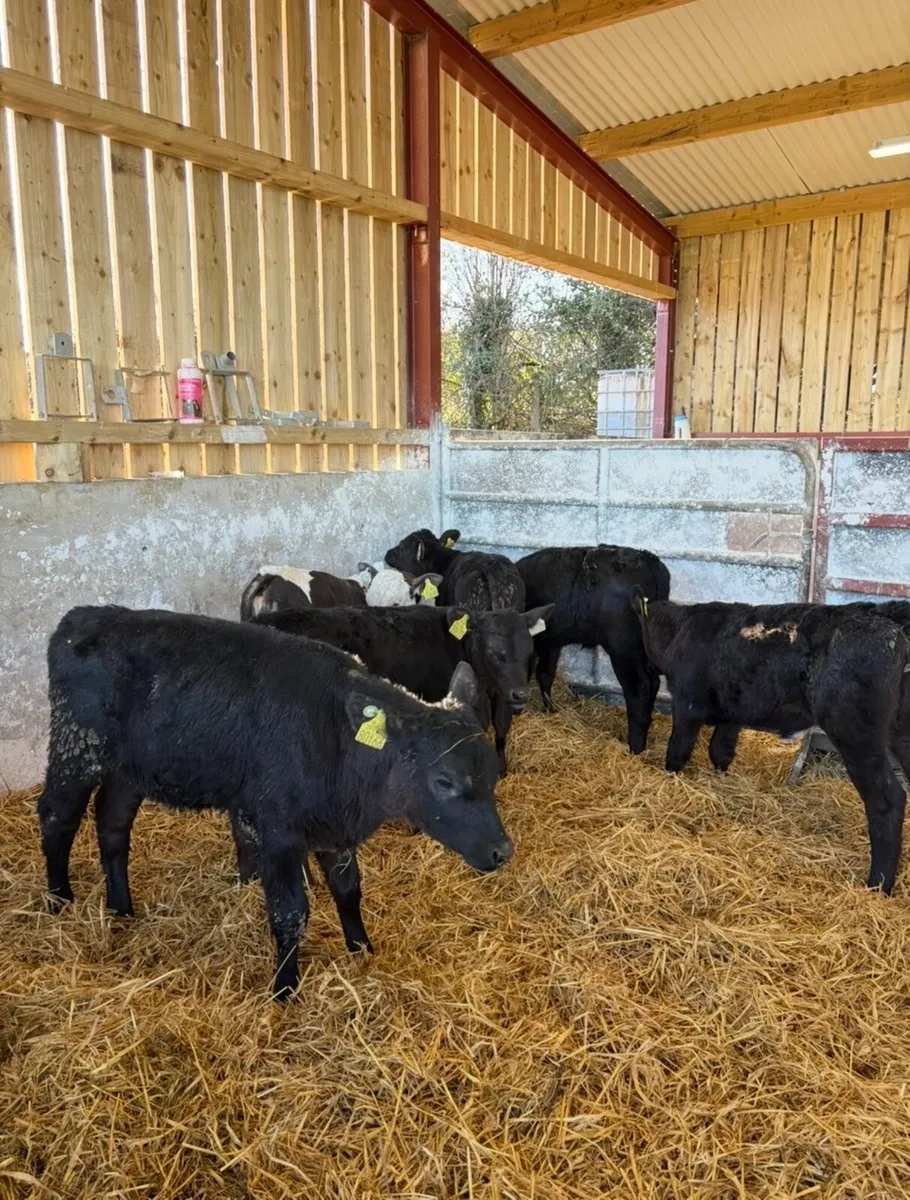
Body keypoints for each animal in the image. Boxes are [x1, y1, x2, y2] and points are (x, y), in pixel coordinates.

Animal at [37, 606, 513, 999]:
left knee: (112, 825)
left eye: (491, 774)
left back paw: (120, 908)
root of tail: (83, 617)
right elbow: (290, 913)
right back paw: (59, 901)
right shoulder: (279, 830)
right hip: (76, 746)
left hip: (128, 770)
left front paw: (361, 948)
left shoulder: (333, 826)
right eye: (444, 781)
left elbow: (349, 889)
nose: (502, 851)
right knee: (57, 816)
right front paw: (285, 989)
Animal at [516, 545, 671, 754]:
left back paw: (635, 747)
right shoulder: (551, 643)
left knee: (639, 689)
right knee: (653, 683)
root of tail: (646, 559)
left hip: (623, 650)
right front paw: (550, 710)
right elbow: (545, 674)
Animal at [637, 596, 910, 894]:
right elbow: (720, 749)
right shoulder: (732, 713)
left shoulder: (687, 705)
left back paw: (878, 885)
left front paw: (670, 778)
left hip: (856, 733)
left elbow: (678, 749)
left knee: (887, 799)